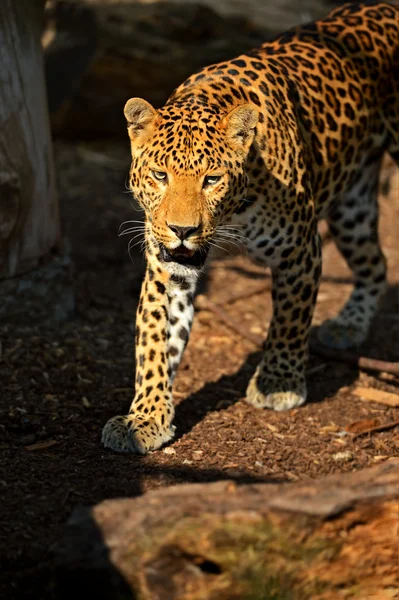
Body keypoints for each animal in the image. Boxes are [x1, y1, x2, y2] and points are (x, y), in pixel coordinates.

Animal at [102, 2, 399, 452]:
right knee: (376, 264)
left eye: (212, 179)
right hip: (352, 209)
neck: (232, 218)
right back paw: (349, 324)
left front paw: (278, 383)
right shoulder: (166, 269)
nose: (182, 230)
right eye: (159, 175)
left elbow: (289, 320)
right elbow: (154, 340)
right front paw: (146, 417)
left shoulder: (301, 251)